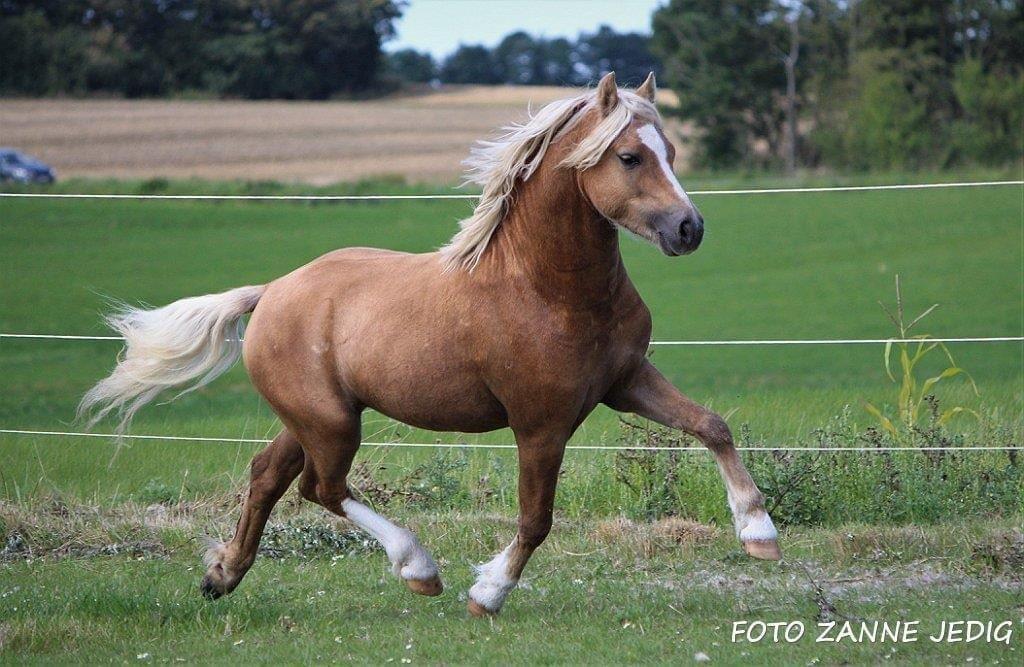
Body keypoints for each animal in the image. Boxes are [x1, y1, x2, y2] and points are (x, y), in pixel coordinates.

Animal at [79, 72, 780, 617]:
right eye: (631, 157)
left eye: (672, 151)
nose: (689, 228)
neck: (546, 289)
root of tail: (272, 291)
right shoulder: (542, 422)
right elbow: (536, 518)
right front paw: (487, 593)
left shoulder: (625, 382)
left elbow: (711, 426)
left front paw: (759, 533)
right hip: (331, 422)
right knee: (321, 488)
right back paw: (419, 568)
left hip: (316, 417)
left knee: (268, 474)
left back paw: (222, 575)